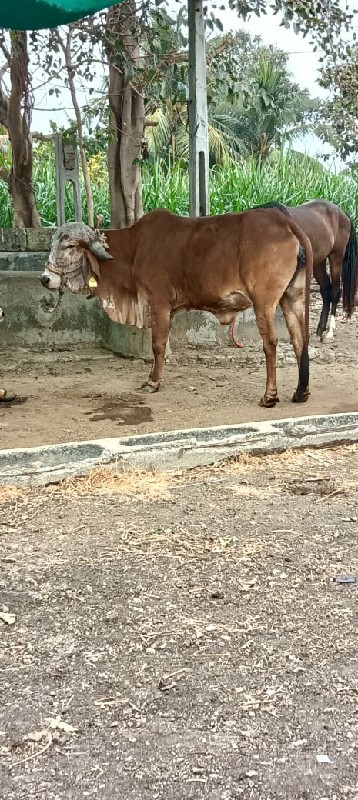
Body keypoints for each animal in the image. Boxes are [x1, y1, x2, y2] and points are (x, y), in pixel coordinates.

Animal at [40, 208, 312, 406]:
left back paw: (269, 396)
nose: (45, 279)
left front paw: (152, 382)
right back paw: (301, 393)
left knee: (271, 343)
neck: (133, 248)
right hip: (292, 297)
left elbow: (158, 345)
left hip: (264, 301)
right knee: (300, 340)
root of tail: (285, 222)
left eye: (69, 246)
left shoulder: (158, 303)